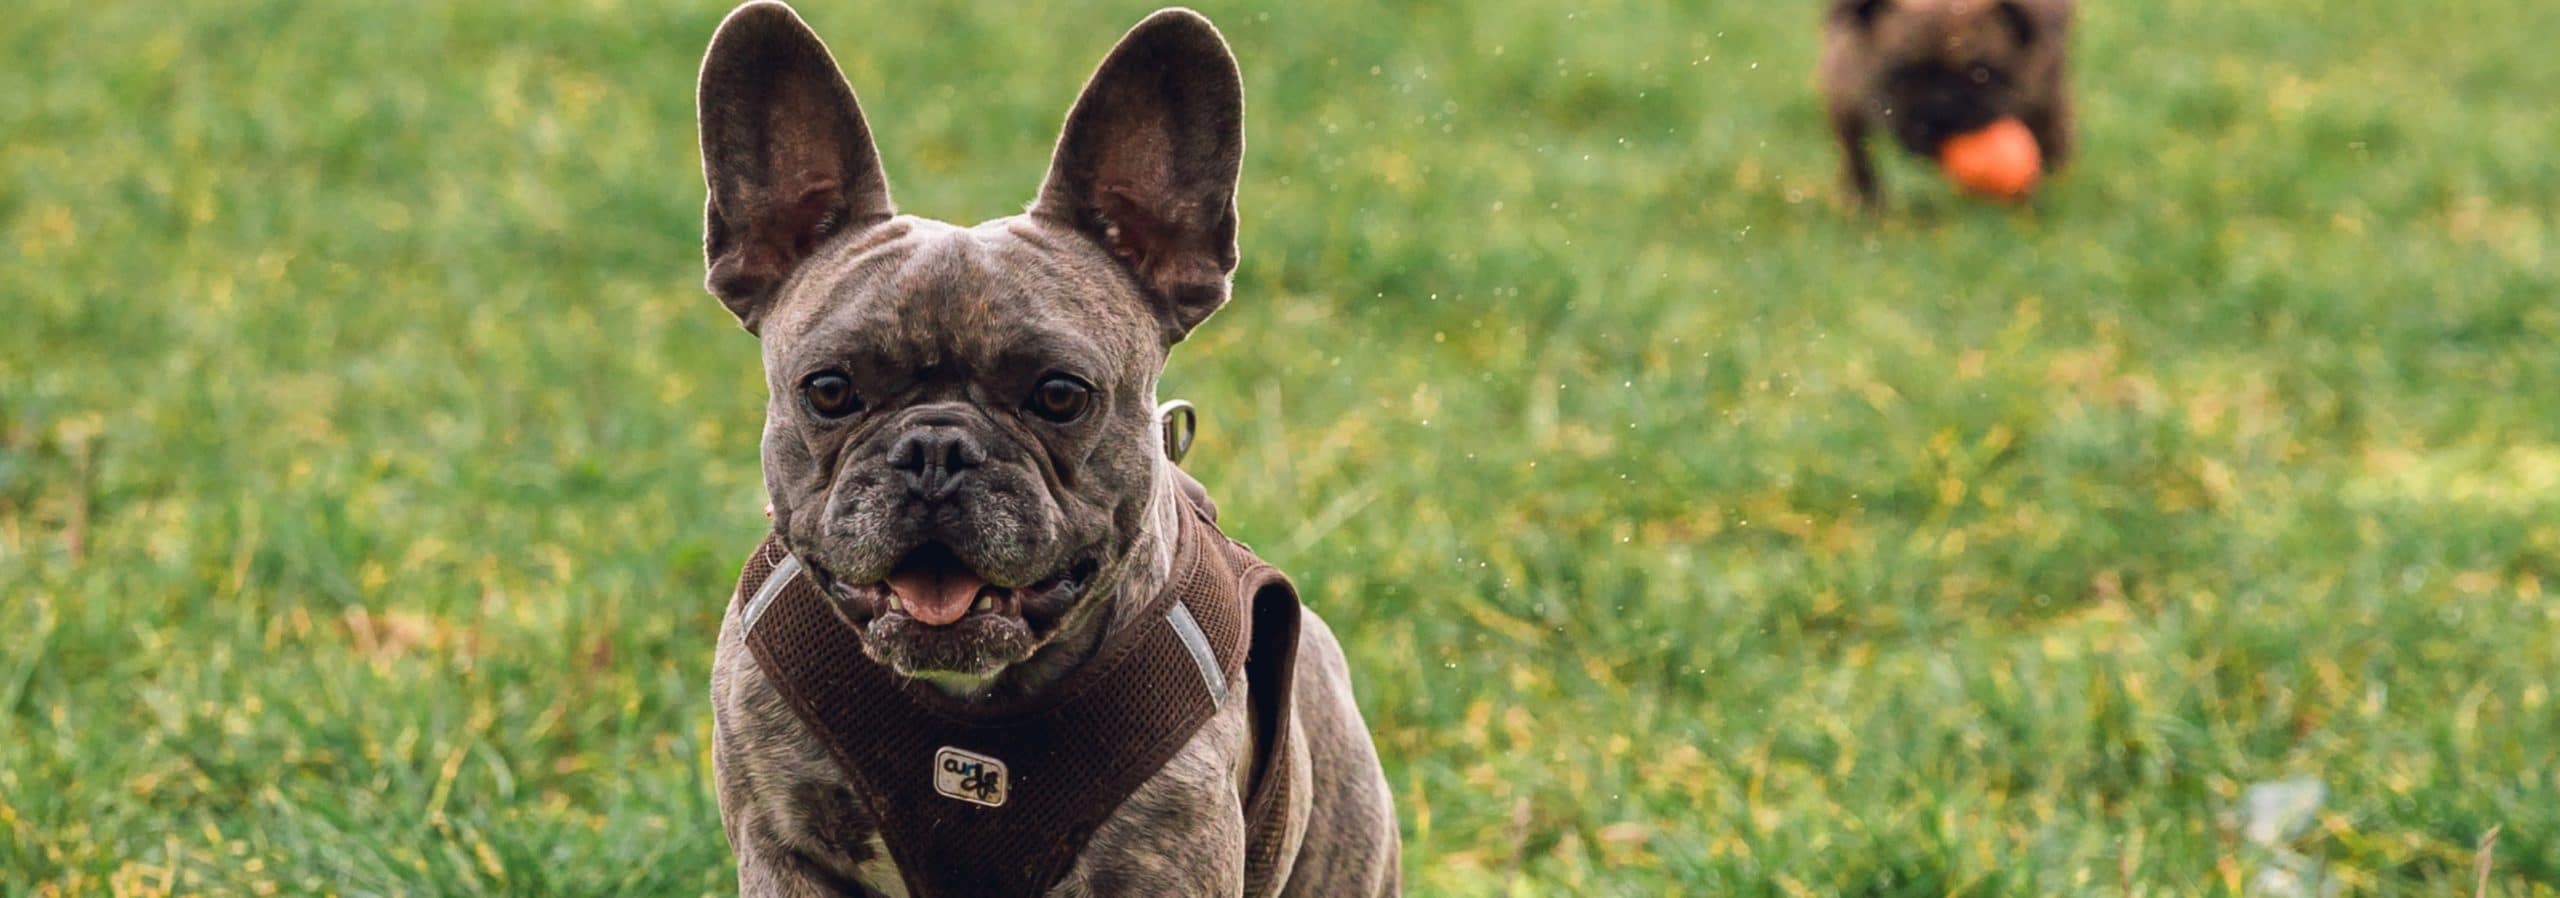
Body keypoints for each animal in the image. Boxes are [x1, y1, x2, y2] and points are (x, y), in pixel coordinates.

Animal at [1822, 0, 2078, 205]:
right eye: (1902, 73)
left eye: (1981, 74)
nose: (1940, 109)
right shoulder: (1844, 93)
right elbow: (1856, 156)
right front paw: (1864, 202)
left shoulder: (2046, 97)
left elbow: (2051, 149)